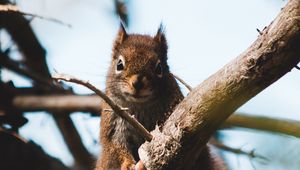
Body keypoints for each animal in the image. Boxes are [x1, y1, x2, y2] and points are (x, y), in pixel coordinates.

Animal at [95, 23, 225, 170]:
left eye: (159, 68)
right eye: (119, 64)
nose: (137, 83)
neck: (141, 105)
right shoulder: (113, 123)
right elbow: (116, 146)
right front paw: (127, 164)